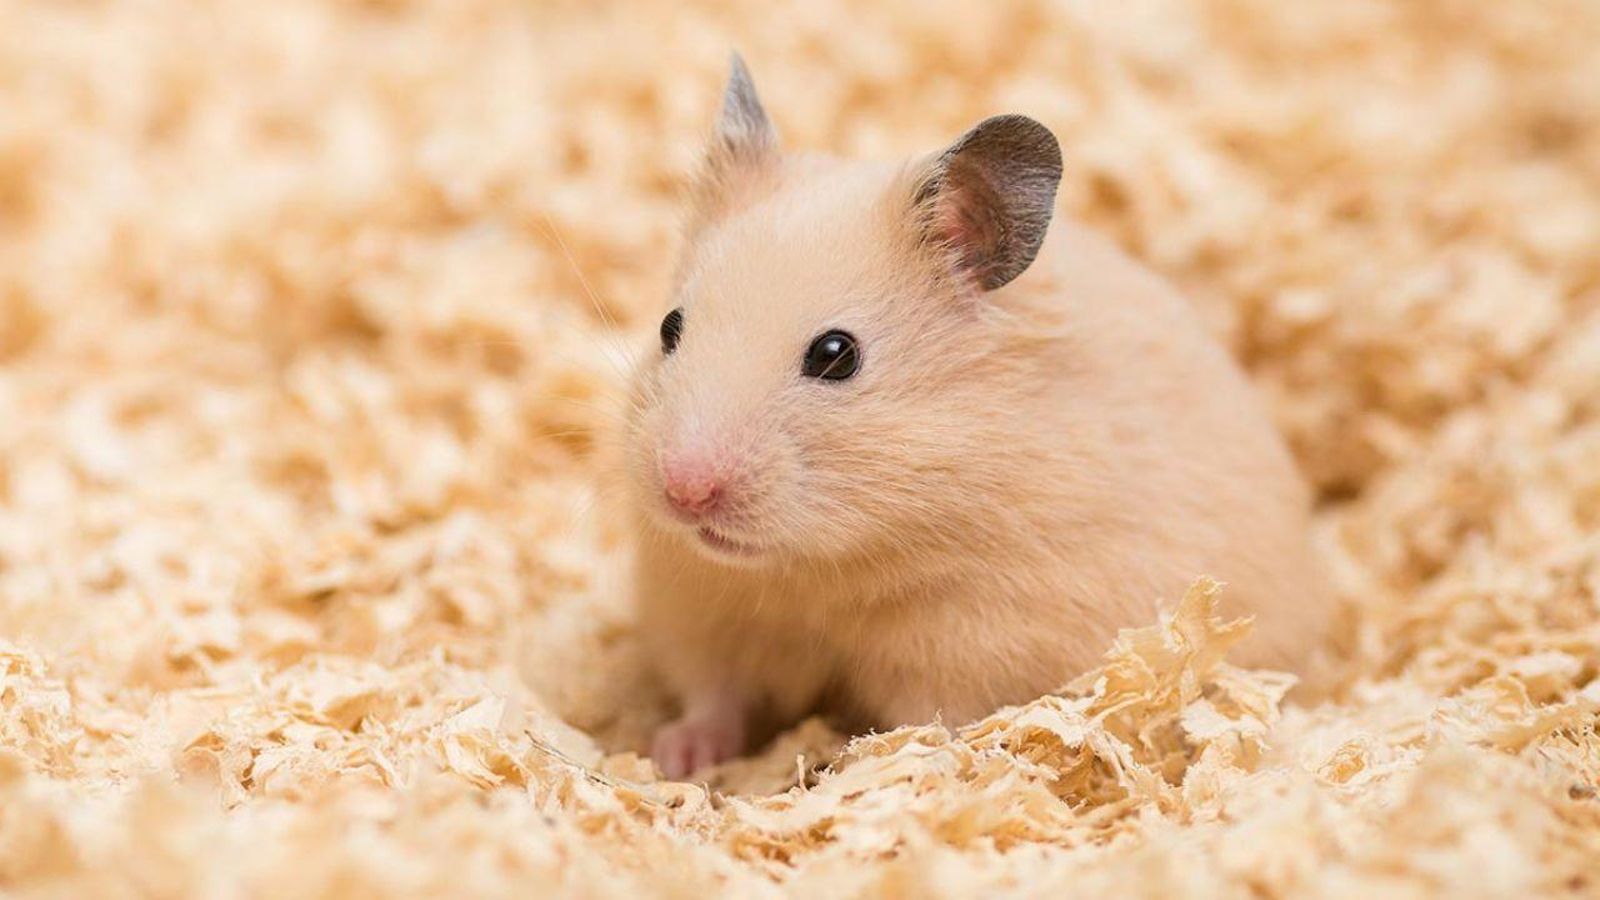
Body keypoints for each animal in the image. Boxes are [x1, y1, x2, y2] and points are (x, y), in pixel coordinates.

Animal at [622, 56, 1336, 779]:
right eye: (670, 326)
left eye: (835, 355)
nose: (685, 492)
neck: (814, 572)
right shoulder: (703, 607)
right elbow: (715, 694)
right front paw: (673, 756)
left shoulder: (974, 644)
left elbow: (927, 723)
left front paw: (862, 764)